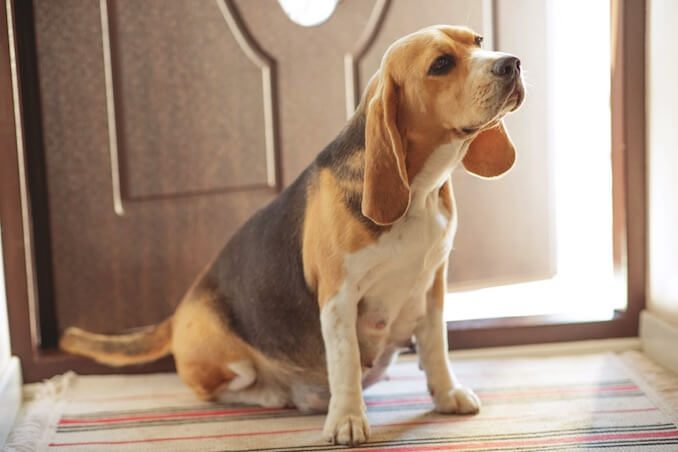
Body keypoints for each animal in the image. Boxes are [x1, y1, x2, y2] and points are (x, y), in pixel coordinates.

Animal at [62, 23, 524, 444]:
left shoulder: (432, 285)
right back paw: (277, 394)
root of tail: (177, 314)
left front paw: (446, 394)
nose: (512, 63)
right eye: (441, 64)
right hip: (228, 359)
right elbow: (345, 362)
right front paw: (348, 420)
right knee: (225, 389)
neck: (420, 191)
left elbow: (436, 346)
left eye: (478, 41)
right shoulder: (338, 297)